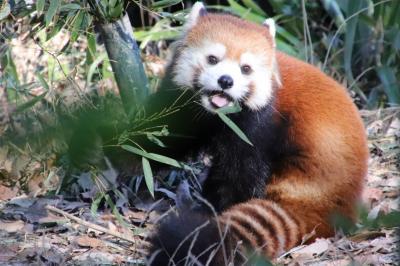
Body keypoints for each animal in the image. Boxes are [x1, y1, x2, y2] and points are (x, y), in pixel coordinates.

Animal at [147, 2, 368, 266]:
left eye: (246, 69)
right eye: (212, 59)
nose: (226, 81)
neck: (218, 116)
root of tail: (336, 203)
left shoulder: (259, 128)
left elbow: (242, 177)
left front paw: (218, 206)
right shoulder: (186, 110)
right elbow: (166, 136)